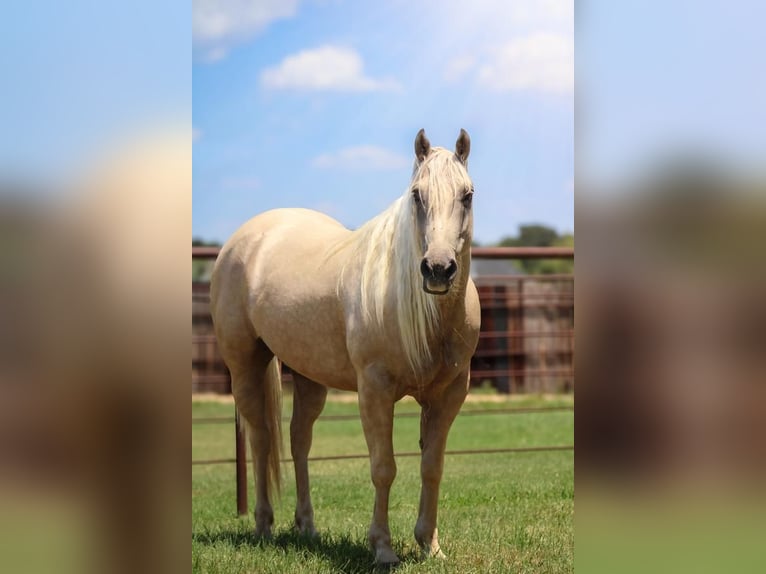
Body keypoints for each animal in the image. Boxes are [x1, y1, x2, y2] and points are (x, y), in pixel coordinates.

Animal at [212, 128, 480, 564]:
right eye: (417, 195)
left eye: (467, 194)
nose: (438, 270)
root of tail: (244, 239)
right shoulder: (374, 391)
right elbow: (383, 467)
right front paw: (383, 549)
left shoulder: (449, 395)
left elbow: (432, 467)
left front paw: (430, 545)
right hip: (244, 364)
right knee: (261, 437)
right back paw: (264, 525)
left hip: (308, 376)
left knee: (298, 440)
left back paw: (306, 527)